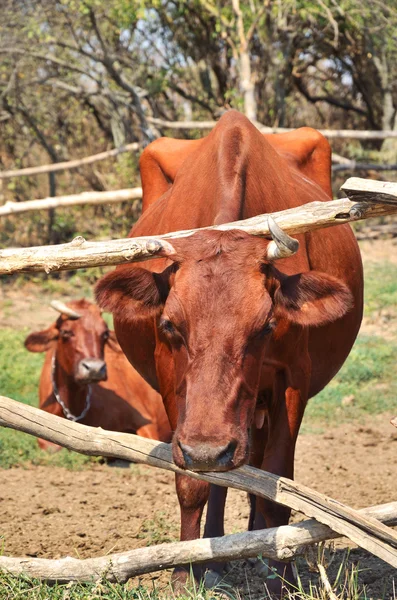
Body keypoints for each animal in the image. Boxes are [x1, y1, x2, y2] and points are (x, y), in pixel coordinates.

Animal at [96, 110, 362, 592]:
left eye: (266, 326)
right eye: (170, 325)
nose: (208, 450)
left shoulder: (292, 380)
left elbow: (277, 486)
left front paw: (281, 577)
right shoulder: (174, 389)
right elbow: (193, 484)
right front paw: (185, 573)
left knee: (254, 467)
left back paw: (254, 549)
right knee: (224, 475)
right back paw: (217, 555)